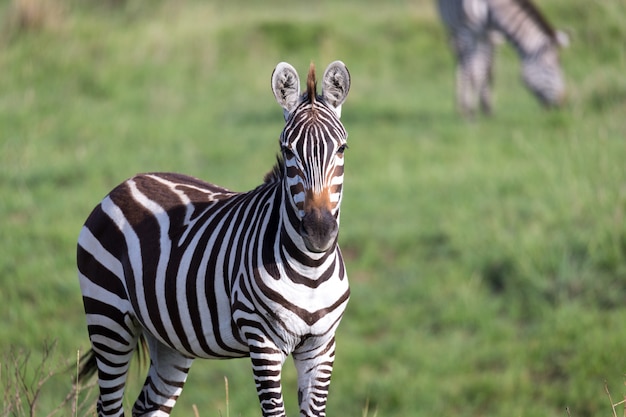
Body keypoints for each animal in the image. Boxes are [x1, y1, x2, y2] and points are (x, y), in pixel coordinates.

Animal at [77, 59, 352, 416]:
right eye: (287, 150)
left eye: (342, 148)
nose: (319, 232)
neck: (311, 268)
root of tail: (125, 183)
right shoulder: (263, 343)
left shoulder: (321, 346)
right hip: (107, 317)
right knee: (108, 404)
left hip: (168, 337)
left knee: (146, 406)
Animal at [436, 0, 568, 116]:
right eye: (549, 69)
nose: (562, 104)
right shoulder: (467, 33)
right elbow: (474, 75)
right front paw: (471, 113)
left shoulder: (494, 35)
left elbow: (488, 71)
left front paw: (487, 108)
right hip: (456, 31)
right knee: (462, 64)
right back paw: (462, 107)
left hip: (483, 38)